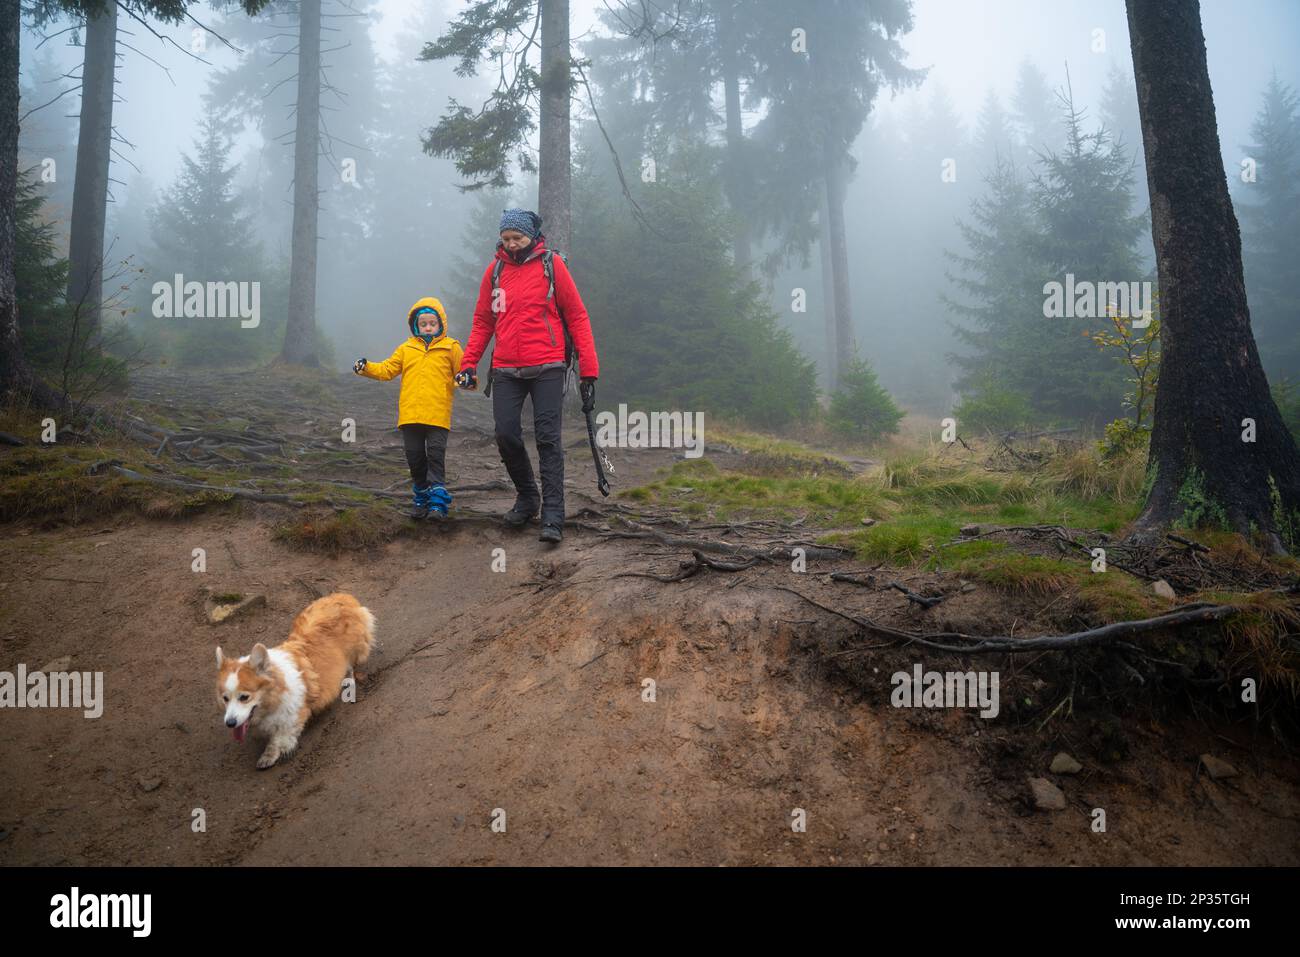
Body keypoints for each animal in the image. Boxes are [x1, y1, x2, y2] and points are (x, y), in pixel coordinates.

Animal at [214, 590, 374, 769]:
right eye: (225, 698)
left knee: (350, 666)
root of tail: (341, 596)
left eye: (244, 697)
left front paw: (270, 755)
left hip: (354, 650)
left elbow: (279, 738)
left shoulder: (294, 716)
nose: (230, 723)